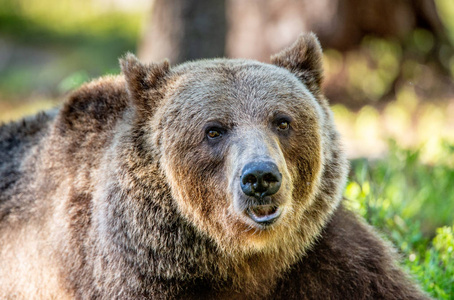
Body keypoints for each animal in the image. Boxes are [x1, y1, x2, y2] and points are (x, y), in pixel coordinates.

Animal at [0, 34, 430, 298]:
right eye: (213, 130)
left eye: (282, 121)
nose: (260, 178)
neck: (239, 259)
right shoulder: (134, 273)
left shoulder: (324, 257)